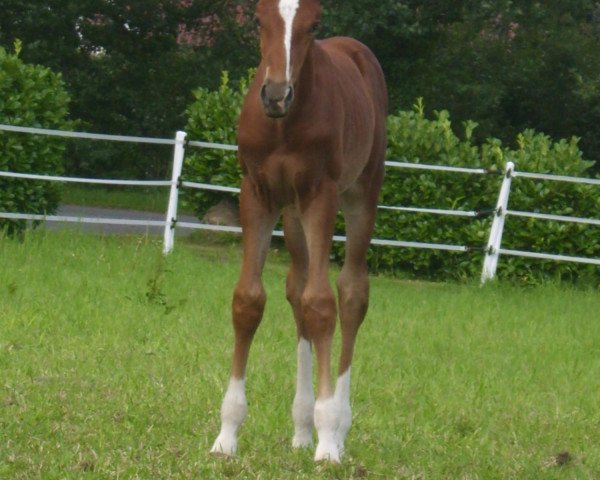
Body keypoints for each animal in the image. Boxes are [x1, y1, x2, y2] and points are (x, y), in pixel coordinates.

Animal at [211, 0, 390, 464]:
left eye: (314, 24)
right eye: (259, 21)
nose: (276, 94)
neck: (283, 126)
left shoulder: (319, 194)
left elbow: (322, 303)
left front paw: (327, 439)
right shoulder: (256, 192)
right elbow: (249, 301)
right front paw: (227, 433)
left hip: (360, 194)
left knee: (351, 293)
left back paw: (337, 427)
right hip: (291, 214)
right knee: (296, 288)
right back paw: (301, 427)